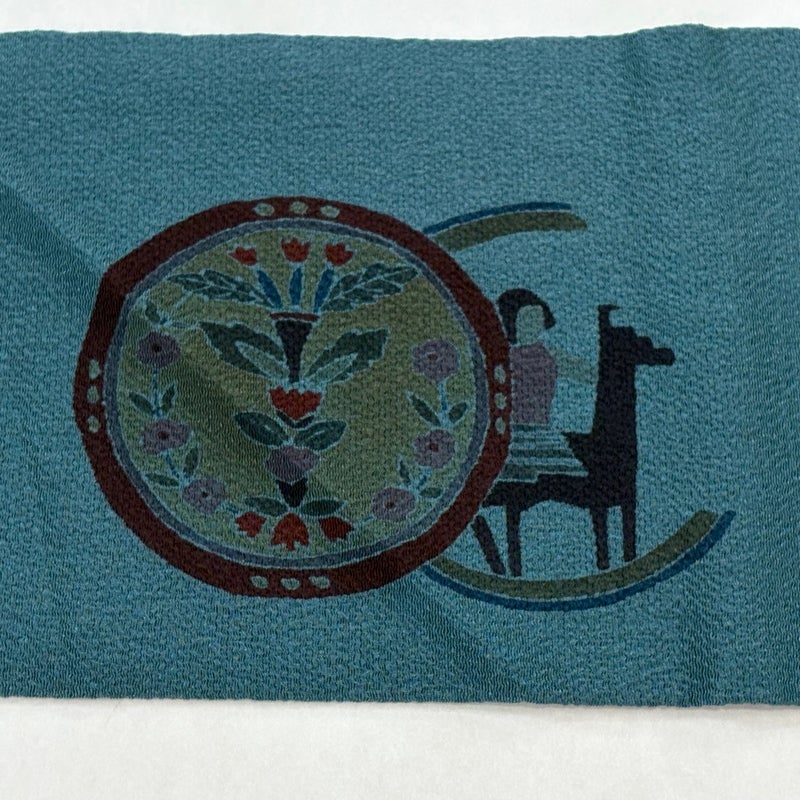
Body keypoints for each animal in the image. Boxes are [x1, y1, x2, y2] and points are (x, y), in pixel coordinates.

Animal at [475, 305, 675, 575]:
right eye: (642, 341)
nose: (668, 354)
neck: (602, 442)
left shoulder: (627, 501)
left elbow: (628, 547)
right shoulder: (597, 503)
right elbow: (604, 553)